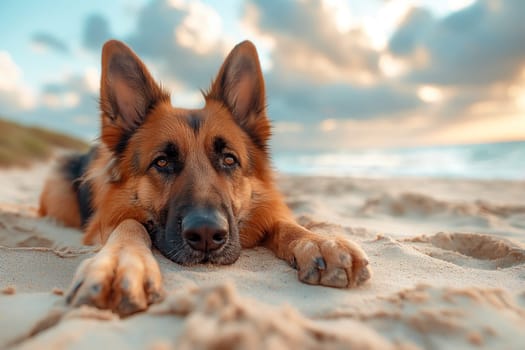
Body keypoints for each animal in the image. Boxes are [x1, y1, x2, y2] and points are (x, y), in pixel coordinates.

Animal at [39, 39, 370, 316]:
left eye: (229, 159)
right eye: (162, 162)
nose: (207, 235)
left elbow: (284, 223)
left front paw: (320, 242)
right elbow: (130, 224)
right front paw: (120, 264)